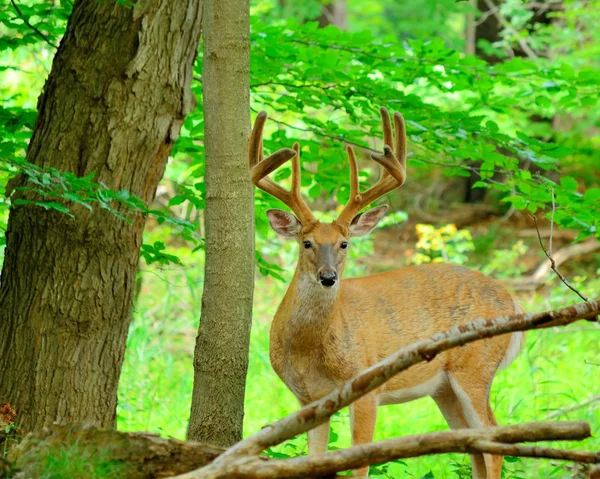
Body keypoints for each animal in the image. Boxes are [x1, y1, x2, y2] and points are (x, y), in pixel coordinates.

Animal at [248, 109, 524, 479]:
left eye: (344, 243)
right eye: (306, 242)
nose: (328, 277)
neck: (310, 351)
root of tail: (513, 300)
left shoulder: (367, 387)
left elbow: (359, 463)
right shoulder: (308, 399)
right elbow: (314, 462)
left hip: (474, 366)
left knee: (494, 443)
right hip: (444, 388)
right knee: (473, 446)